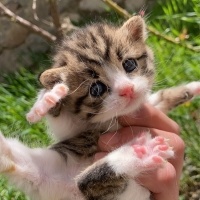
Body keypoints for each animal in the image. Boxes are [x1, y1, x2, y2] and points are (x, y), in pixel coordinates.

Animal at [0, 14, 200, 199]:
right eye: (96, 89)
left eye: (129, 64)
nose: (127, 90)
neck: (113, 118)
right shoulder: (70, 129)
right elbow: (59, 120)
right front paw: (48, 98)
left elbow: (159, 98)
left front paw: (190, 88)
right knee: (84, 182)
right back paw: (139, 153)